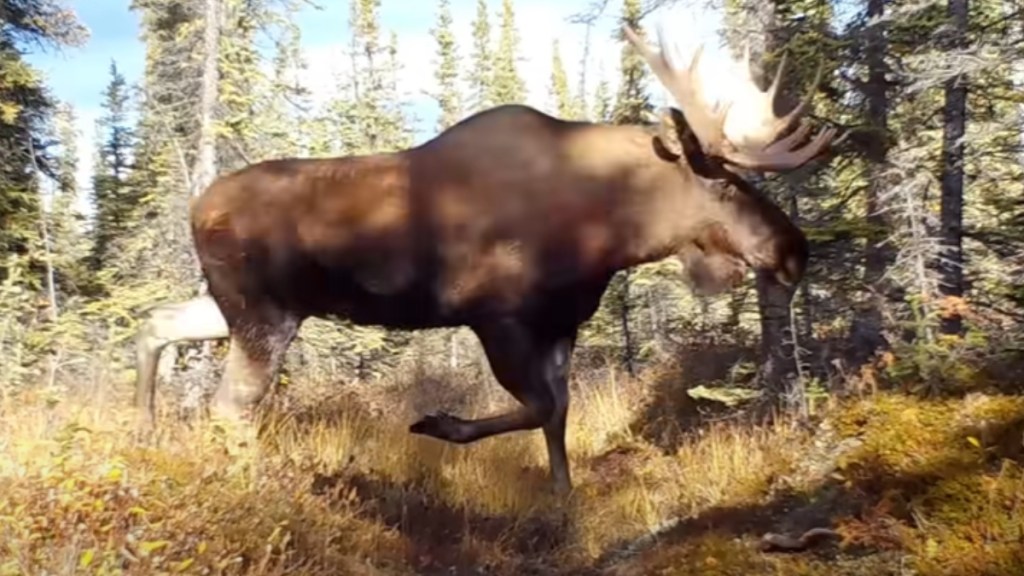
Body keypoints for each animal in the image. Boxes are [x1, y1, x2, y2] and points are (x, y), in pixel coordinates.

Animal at [134, 25, 839, 494]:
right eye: (727, 185)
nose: (794, 251)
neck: (608, 229)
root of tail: (195, 208)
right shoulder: (497, 316)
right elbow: (540, 408)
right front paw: (440, 426)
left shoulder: (562, 323)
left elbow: (560, 416)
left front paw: (563, 501)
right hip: (264, 314)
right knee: (229, 406)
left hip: (245, 307)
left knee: (159, 325)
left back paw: (146, 425)